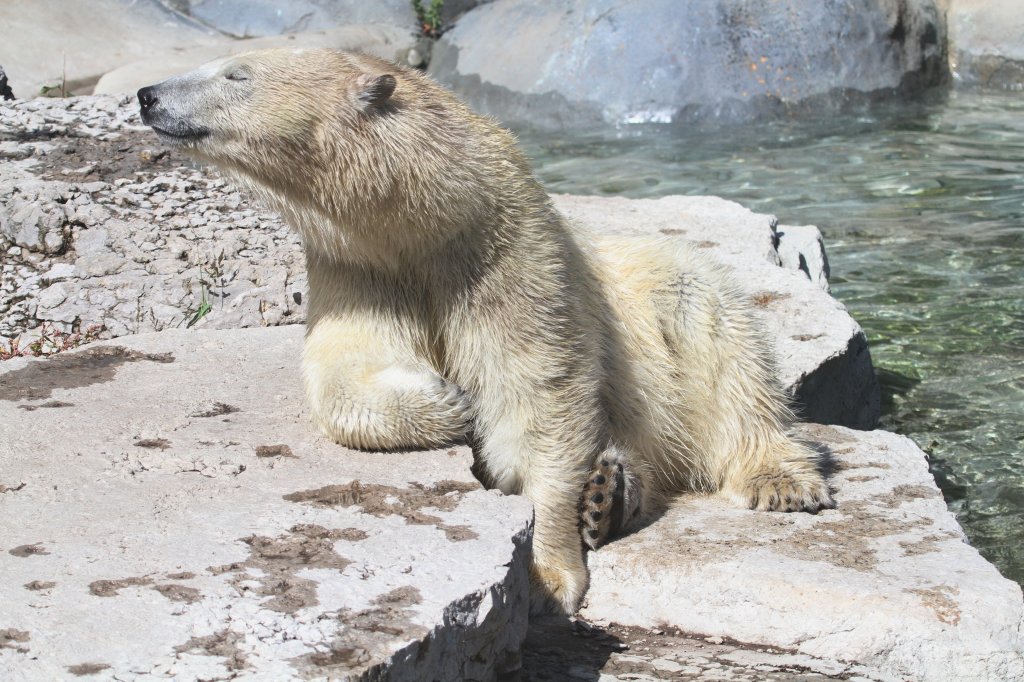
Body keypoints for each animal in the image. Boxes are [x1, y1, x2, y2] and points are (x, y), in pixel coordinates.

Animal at [138, 47, 831, 610]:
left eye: (236, 74)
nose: (147, 94)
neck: (427, 223)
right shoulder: (359, 269)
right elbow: (349, 364)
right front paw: (444, 401)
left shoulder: (508, 257)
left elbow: (540, 397)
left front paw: (551, 570)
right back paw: (610, 493)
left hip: (666, 291)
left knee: (721, 345)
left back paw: (772, 480)